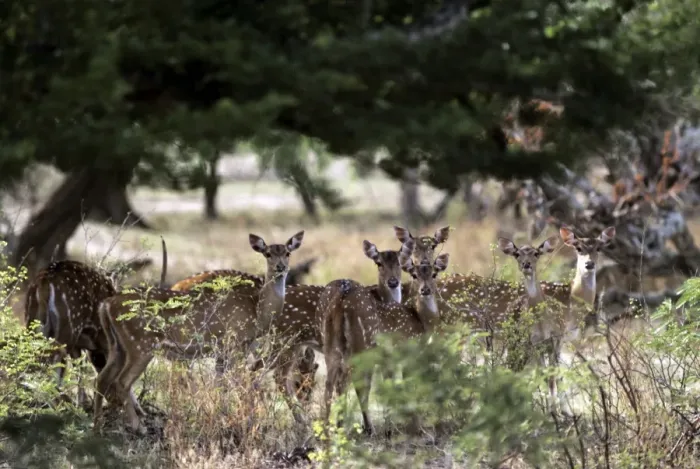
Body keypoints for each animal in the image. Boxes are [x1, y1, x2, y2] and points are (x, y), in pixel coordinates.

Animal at [23, 238, 168, 408]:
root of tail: (44, 281)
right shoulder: (104, 342)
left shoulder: (83, 345)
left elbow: (81, 365)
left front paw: (83, 402)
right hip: (68, 327)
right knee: (52, 358)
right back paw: (56, 401)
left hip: (33, 322)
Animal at [93, 231, 305, 433]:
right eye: (267, 253)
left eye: (288, 253)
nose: (280, 267)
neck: (257, 312)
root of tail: (106, 304)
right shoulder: (235, 343)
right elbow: (239, 384)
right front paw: (245, 422)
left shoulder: (224, 351)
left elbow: (221, 385)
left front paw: (222, 418)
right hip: (141, 344)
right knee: (121, 382)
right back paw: (139, 427)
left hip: (117, 346)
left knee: (102, 378)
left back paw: (97, 425)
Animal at [319, 237, 450, 435]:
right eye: (414, 275)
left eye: (434, 274)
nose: (425, 290)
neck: (421, 321)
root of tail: (341, 298)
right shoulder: (399, 355)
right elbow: (402, 385)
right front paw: (408, 427)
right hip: (360, 345)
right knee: (345, 382)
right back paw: (346, 428)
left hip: (330, 345)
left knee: (329, 385)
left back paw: (325, 431)